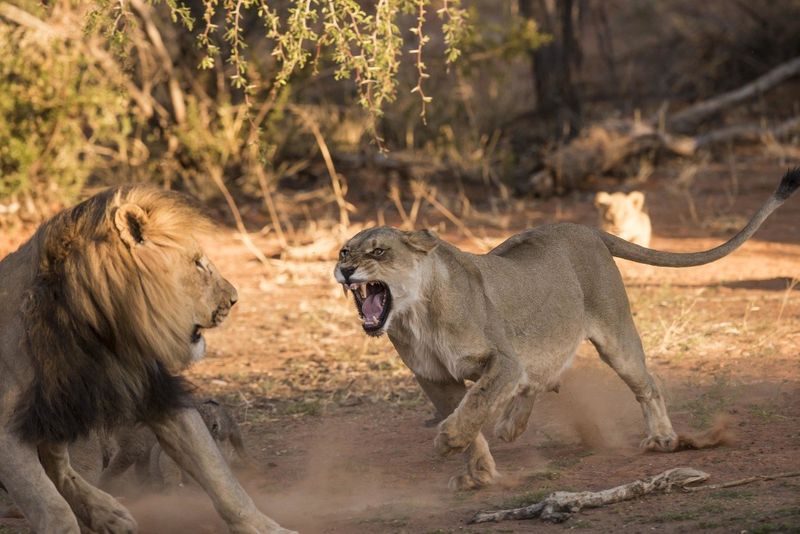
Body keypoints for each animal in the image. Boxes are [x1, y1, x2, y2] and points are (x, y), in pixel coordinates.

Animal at [0, 187, 293, 533]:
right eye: (197, 263)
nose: (234, 299)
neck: (100, 332)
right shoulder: (7, 432)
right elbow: (51, 508)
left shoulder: (156, 394)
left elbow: (221, 479)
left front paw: (267, 527)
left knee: (58, 464)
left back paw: (108, 513)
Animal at [334, 169, 799, 490]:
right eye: (343, 251)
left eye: (378, 252)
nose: (345, 269)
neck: (417, 316)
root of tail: (585, 227)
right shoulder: (434, 377)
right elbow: (472, 417)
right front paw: (478, 472)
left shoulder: (502, 359)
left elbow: (476, 403)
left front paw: (449, 441)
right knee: (542, 376)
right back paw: (512, 426)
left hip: (616, 337)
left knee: (646, 384)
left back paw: (662, 438)